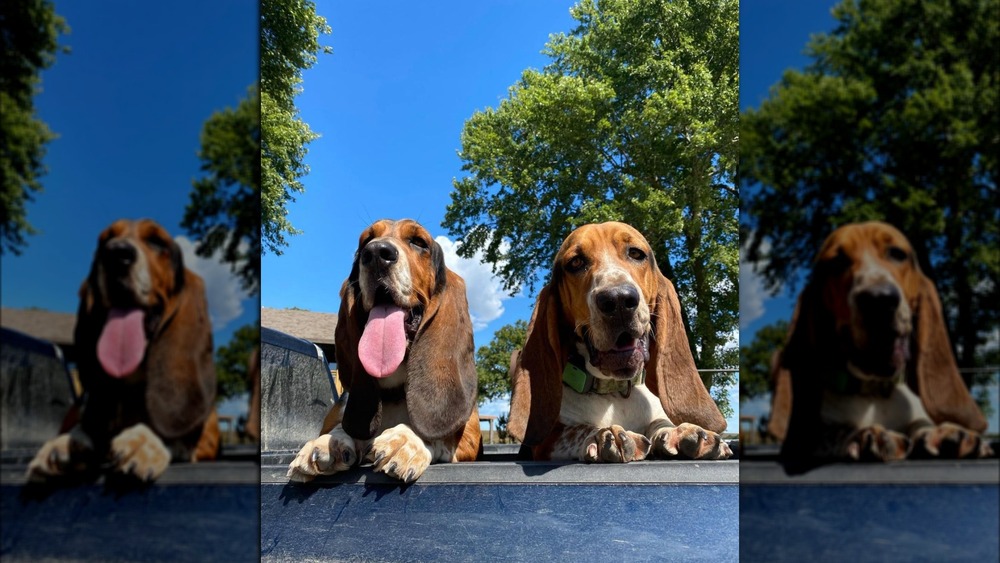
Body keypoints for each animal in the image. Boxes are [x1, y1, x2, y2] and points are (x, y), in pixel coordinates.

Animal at [26, 220, 219, 484]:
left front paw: (143, 442)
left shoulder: (209, 437)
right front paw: (65, 445)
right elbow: (84, 429)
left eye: (157, 241)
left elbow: (176, 435)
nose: (116, 253)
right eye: (104, 241)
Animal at [288, 220, 482, 484]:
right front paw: (328, 442)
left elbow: (438, 434)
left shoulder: (469, 439)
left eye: (419, 242)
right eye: (365, 242)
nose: (376, 253)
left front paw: (405, 440)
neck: (394, 393)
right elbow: (341, 428)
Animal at [512, 221, 732, 462]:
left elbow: (659, 422)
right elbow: (578, 429)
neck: (615, 391)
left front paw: (680, 432)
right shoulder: (547, 442)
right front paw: (603, 436)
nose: (617, 300)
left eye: (636, 253)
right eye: (575, 262)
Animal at [768, 223, 988, 470]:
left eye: (897, 253)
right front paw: (864, 436)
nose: (878, 299)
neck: (873, 391)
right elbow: (831, 432)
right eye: (836, 262)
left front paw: (943, 432)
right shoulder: (804, 439)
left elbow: (921, 423)